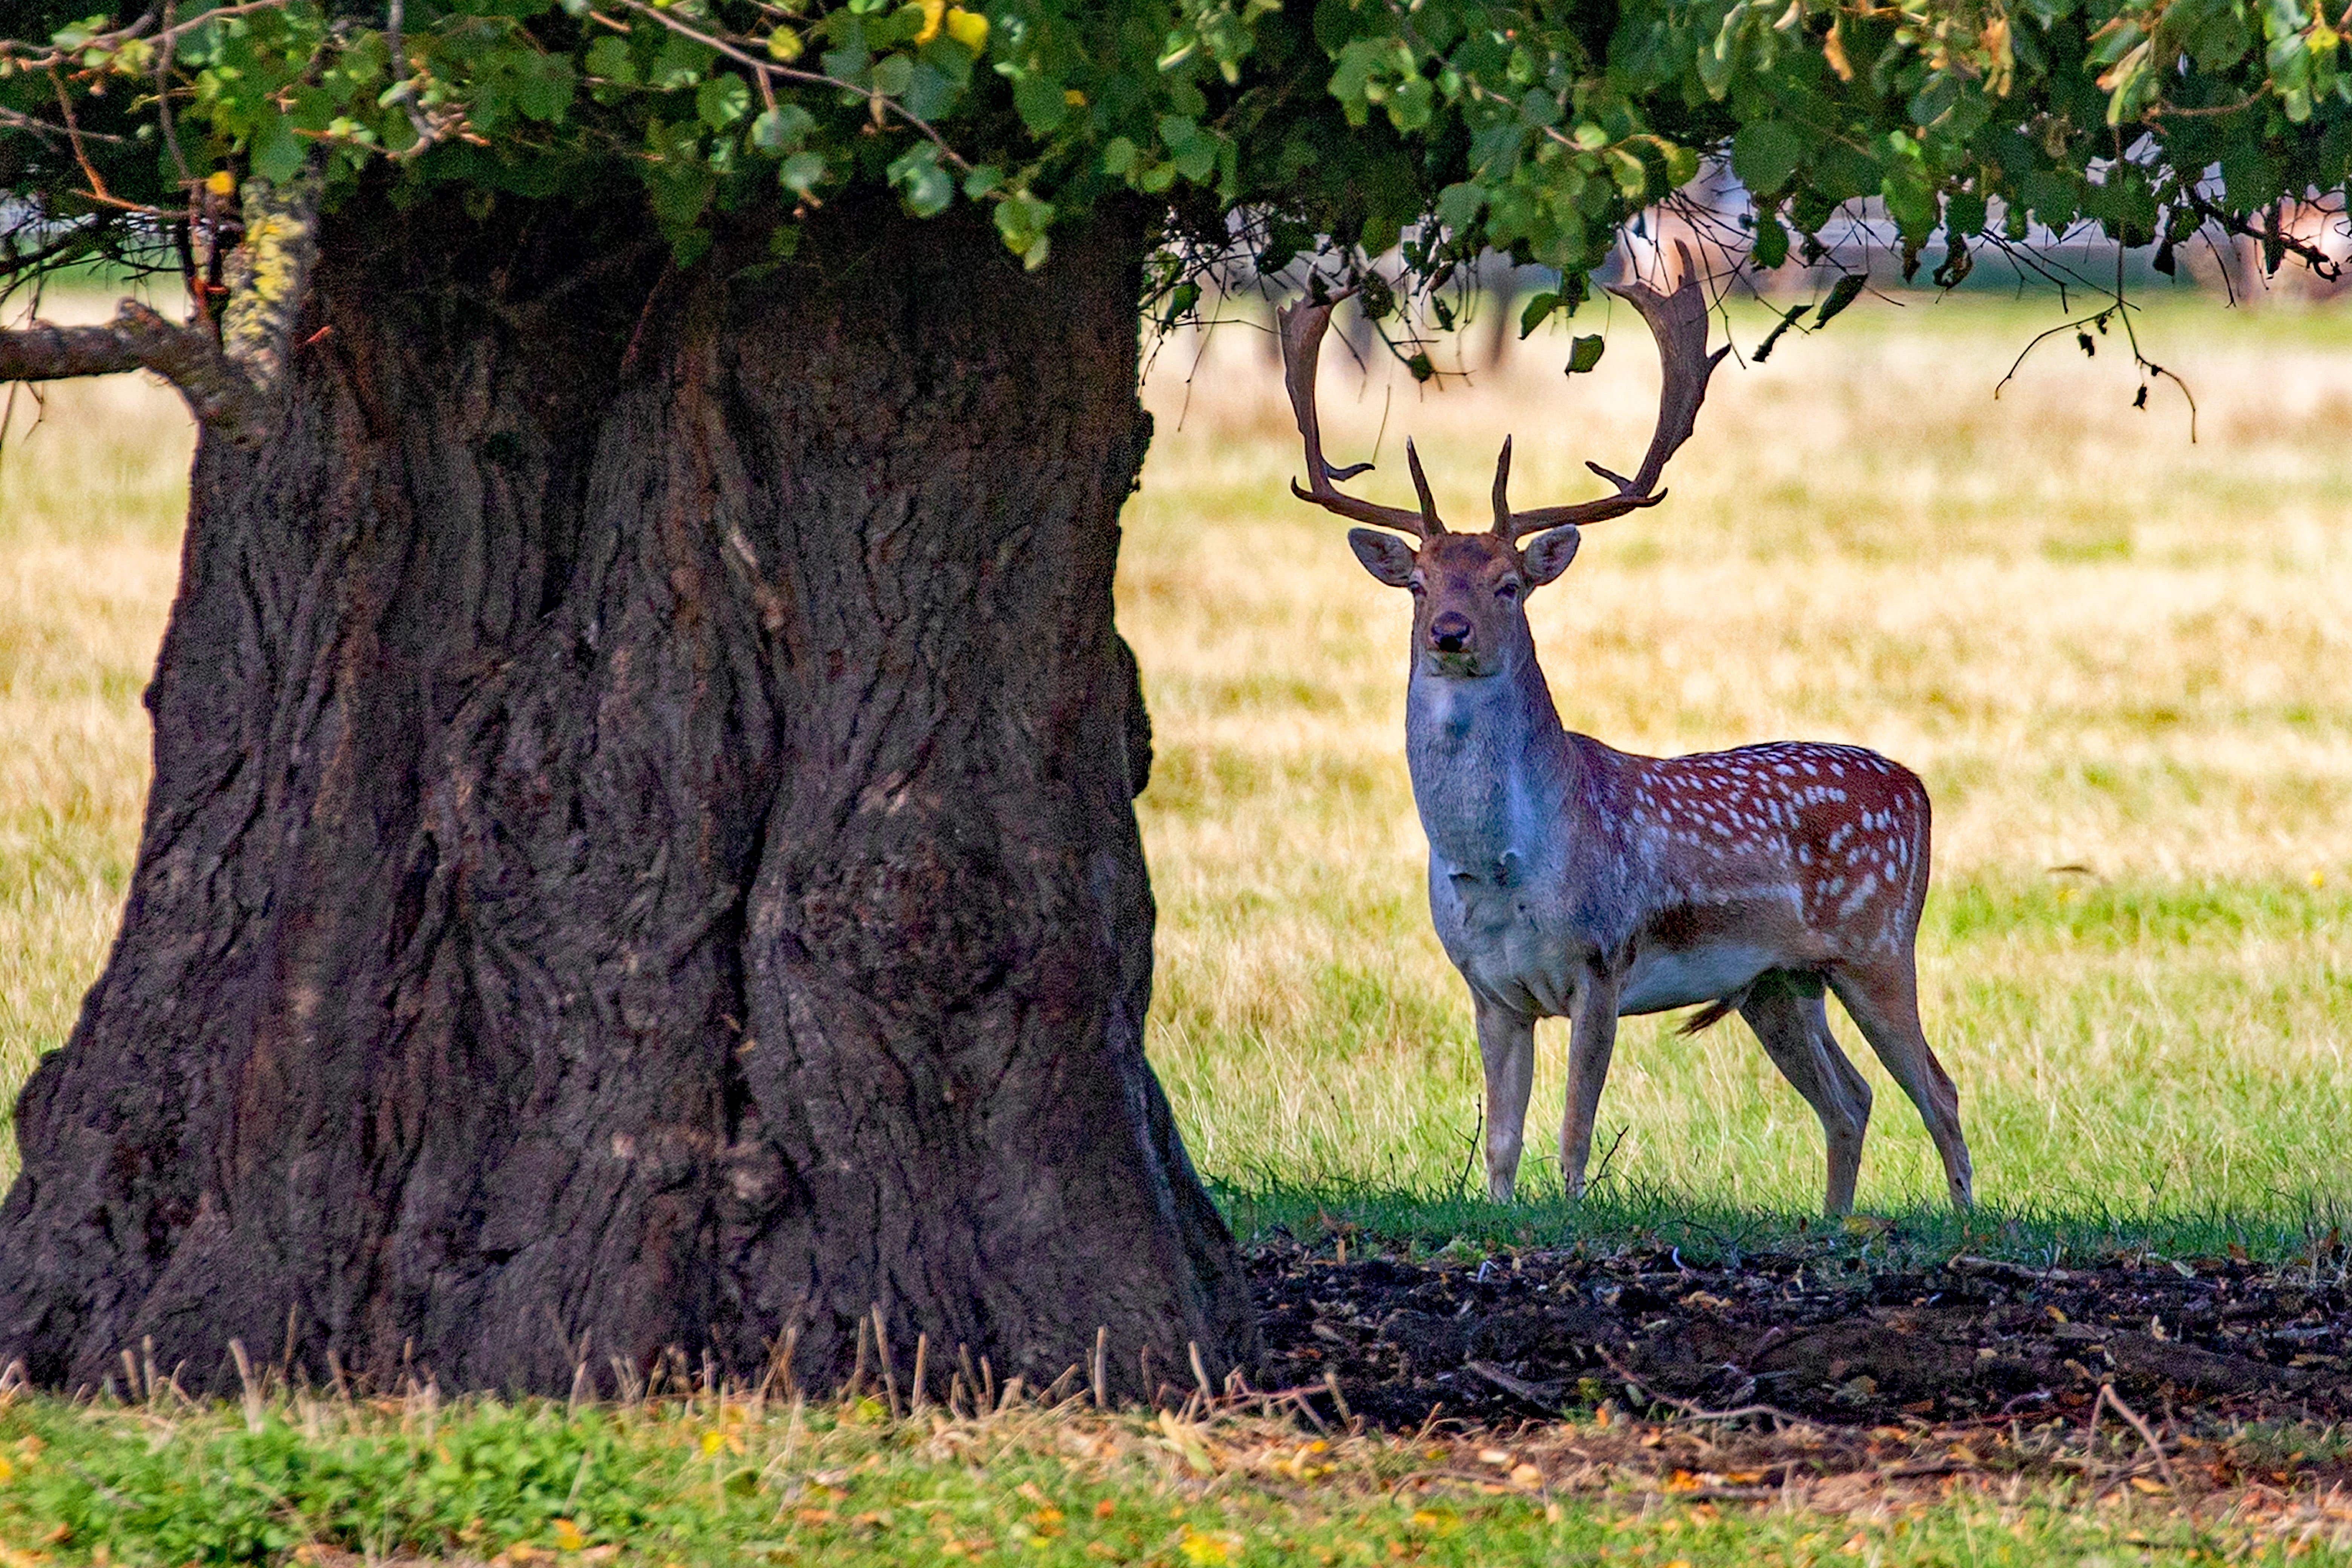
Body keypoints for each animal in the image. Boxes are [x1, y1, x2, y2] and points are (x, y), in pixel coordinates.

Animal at [1276, 263, 1973, 1216]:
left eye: (1508, 583)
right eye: (1418, 582)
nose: (1449, 633)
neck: (1502, 867)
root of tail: (1917, 785)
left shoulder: (1601, 964)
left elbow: (1574, 1136)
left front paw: (1571, 1213)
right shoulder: (1489, 989)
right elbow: (1500, 1144)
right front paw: (1502, 1216)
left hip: (1877, 941)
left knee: (1938, 1088)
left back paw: (1968, 1220)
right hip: (1776, 982)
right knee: (1852, 1097)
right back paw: (1833, 1225)